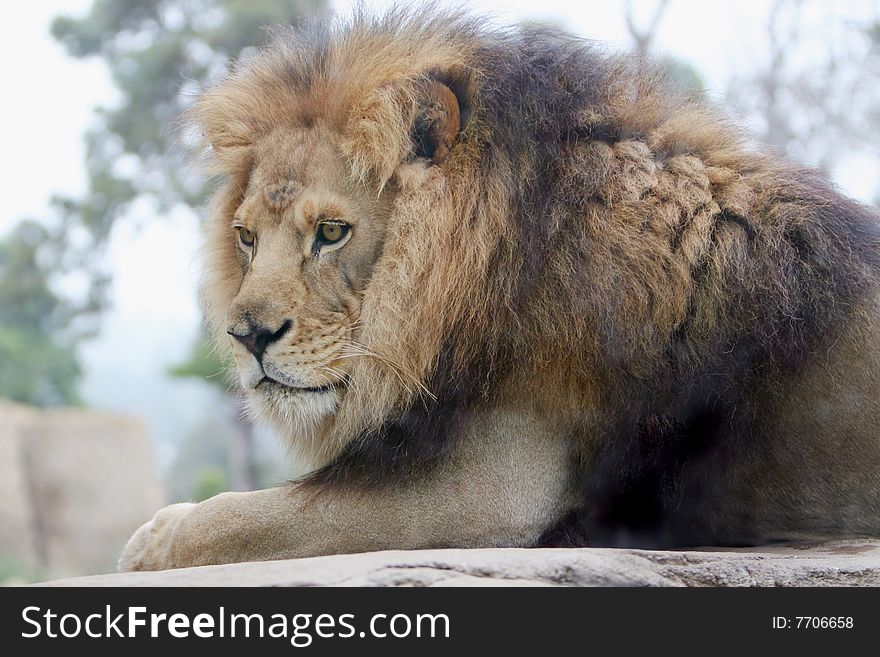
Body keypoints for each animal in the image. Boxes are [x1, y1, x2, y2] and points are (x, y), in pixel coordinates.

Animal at [120, 6, 880, 568]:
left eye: (332, 232)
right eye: (247, 239)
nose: (247, 337)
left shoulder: (487, 493)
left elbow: (249, 516)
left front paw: (151, 538)